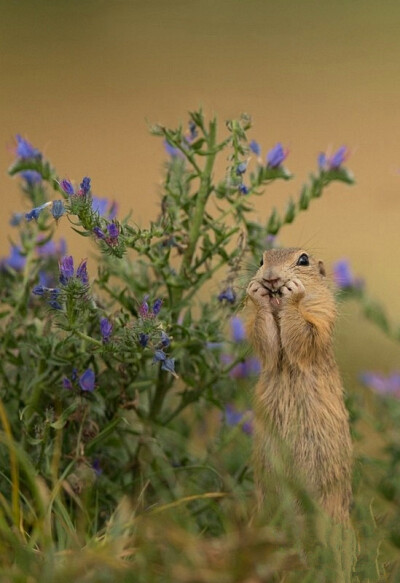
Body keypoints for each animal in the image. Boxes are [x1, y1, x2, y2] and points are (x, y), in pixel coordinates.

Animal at [245, 249, 352, 524]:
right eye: (261, 261)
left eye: (303, 260)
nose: (271, 277)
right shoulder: (260, 331)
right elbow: (264, 336)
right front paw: (256, 291)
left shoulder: (322, 316)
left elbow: (305, 332)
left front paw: (293, 292)